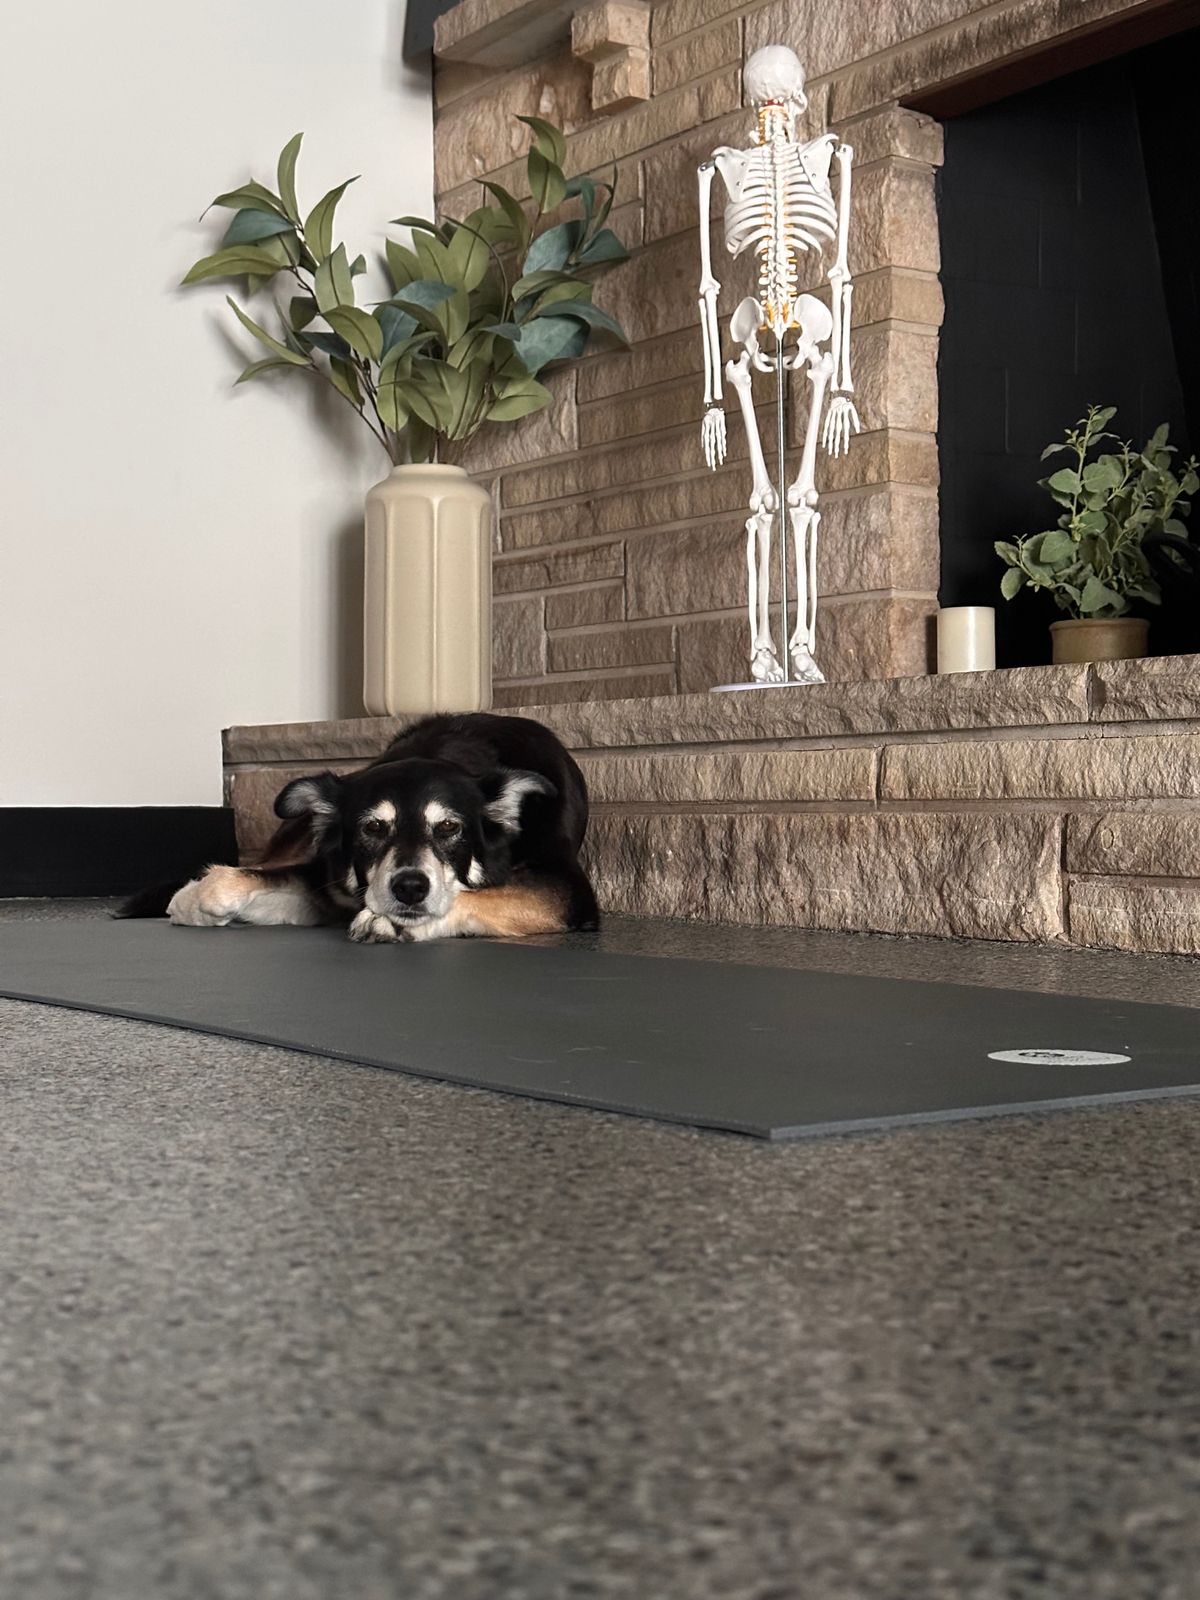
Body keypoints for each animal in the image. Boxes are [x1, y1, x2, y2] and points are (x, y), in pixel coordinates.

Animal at [122, 713, 599, 943]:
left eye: (449, 827)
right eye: (373, 827)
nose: (410, 888)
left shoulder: (567, 891)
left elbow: (476, 895)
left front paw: (395, 922)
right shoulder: (327, 883)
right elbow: (232, 881)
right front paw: (190, 900)